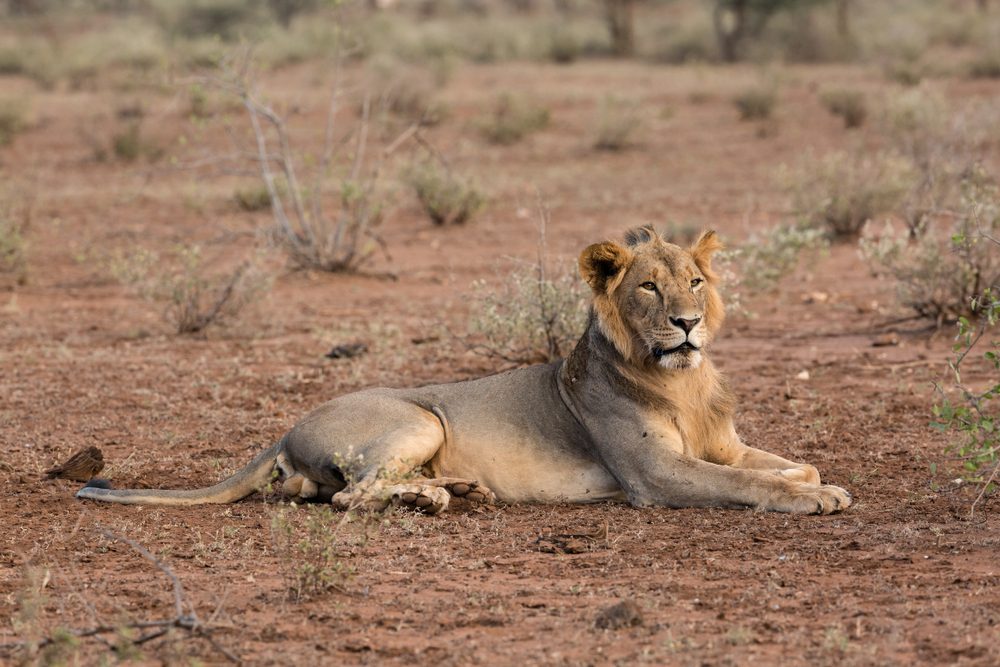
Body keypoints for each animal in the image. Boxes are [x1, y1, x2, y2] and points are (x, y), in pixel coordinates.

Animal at [78, 227, 852, 516]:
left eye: (695, 281)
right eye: (648, 290)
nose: (687, 324)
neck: (680, 379)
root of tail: (286, 428)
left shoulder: (721, 444)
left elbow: (782, 463)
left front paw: (814, 479)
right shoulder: (653, 476)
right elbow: (745, 483)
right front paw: (814, 498)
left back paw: (453, 486)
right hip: (419, 417)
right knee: (349, 494)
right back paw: (433, 497)